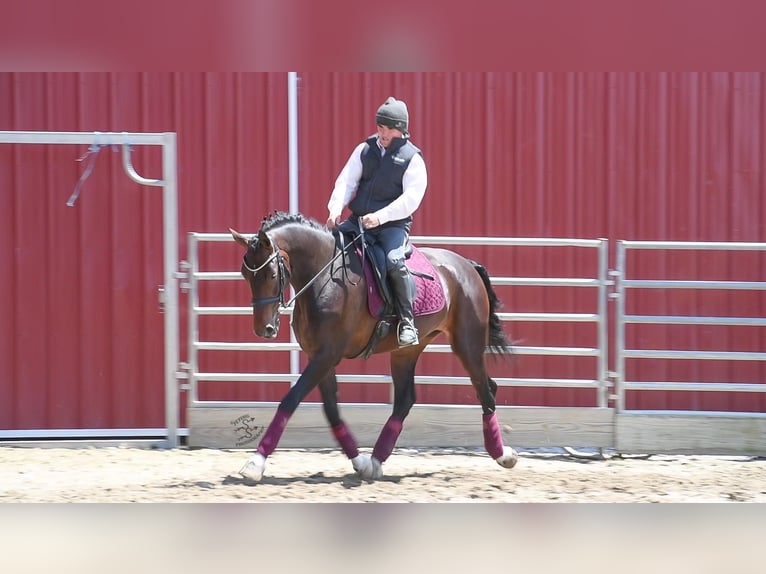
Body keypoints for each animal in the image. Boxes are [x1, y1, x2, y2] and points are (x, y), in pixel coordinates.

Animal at [230, 211, 518, 481]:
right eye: (246, 274)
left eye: (271, 274)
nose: (264, 329)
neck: (324, 278)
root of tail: (466, 265)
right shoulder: (320, 357)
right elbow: (331, 410)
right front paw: (358, 461)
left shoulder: (326, 355)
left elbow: (290, 400)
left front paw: (255, 463)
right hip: (406, 351)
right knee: (405, 400)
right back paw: (375, 462)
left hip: (466, 344)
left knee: (486, 390)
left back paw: (503, 455)